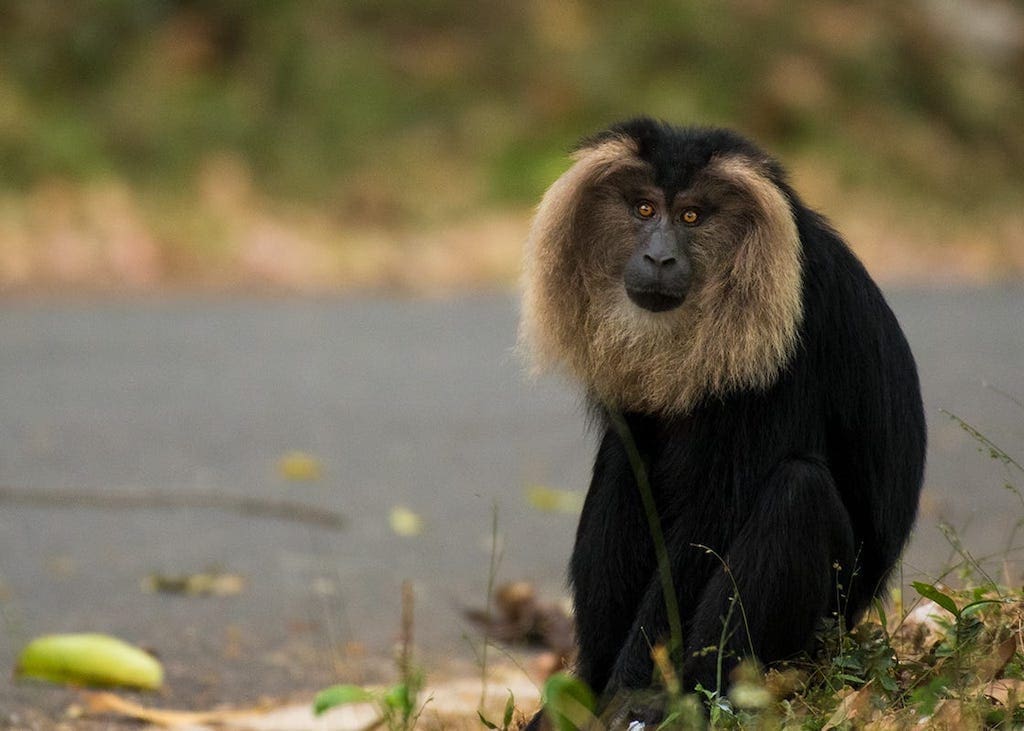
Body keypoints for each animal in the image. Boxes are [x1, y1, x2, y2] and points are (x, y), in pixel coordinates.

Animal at [520, 119, 929, 724]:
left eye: (692, 216)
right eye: (644, 209)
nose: (659, 258)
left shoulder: (788, 328)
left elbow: (713, 516)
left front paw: (632, 695)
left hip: (827, 625)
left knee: (798, 492)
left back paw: (686, 696)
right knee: (622, 462)